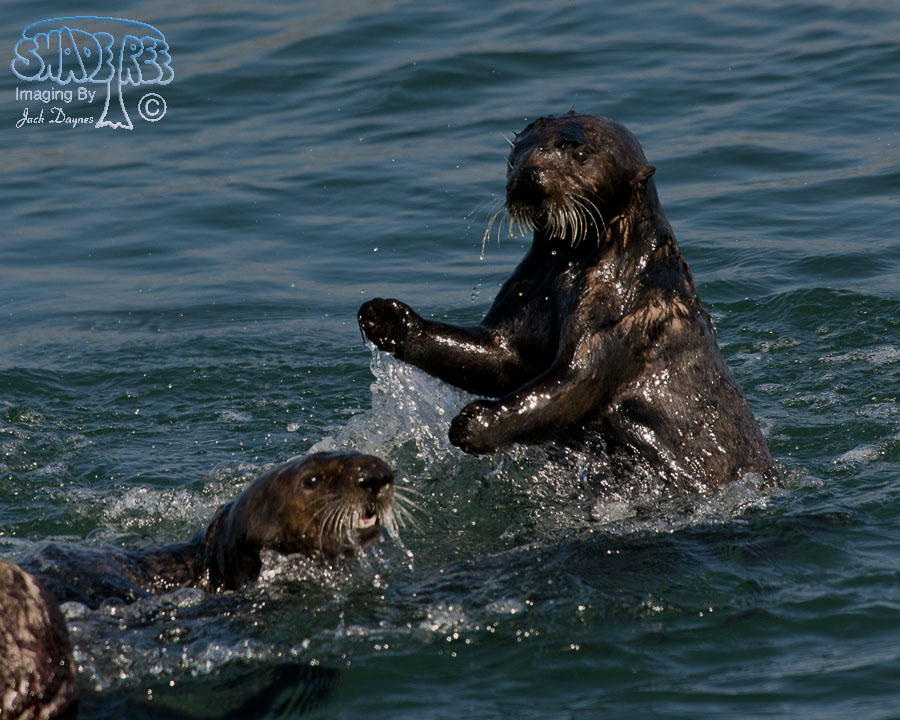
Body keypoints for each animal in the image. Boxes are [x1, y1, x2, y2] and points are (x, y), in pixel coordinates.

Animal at [358, 112, 775, 491]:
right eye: (516, 154)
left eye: (580, 155)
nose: (529, 175)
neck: (568, 266)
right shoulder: (529, 290)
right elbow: (499, 356)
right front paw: (385, 319)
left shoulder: (622, 316)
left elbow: (572, 382)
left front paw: (474, 423)